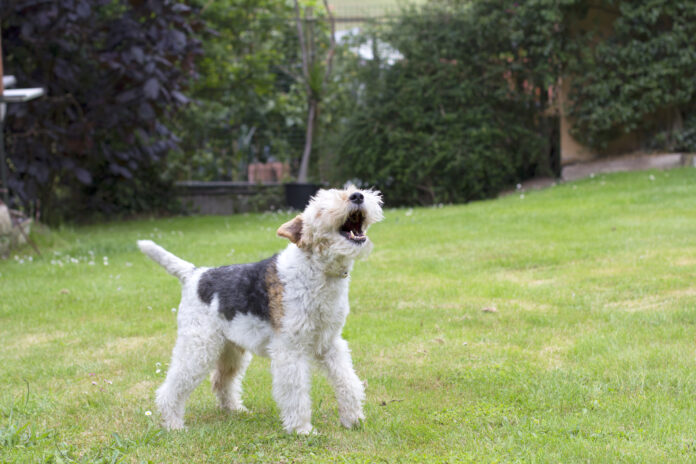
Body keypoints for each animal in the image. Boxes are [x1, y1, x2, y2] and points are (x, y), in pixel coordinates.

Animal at [138, 186, 384, 436]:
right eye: (321, 208)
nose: (358, 196)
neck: (317, 270)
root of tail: (195, 274)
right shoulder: (290, 349)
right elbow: (296, 392)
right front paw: (302, 429)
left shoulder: (330, 343)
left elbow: (347, 381)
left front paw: (354, 420)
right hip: (199, 347)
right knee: (171, 388)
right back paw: (173, 424)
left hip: (231, 350)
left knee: (221, 381)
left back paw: (235, 409)